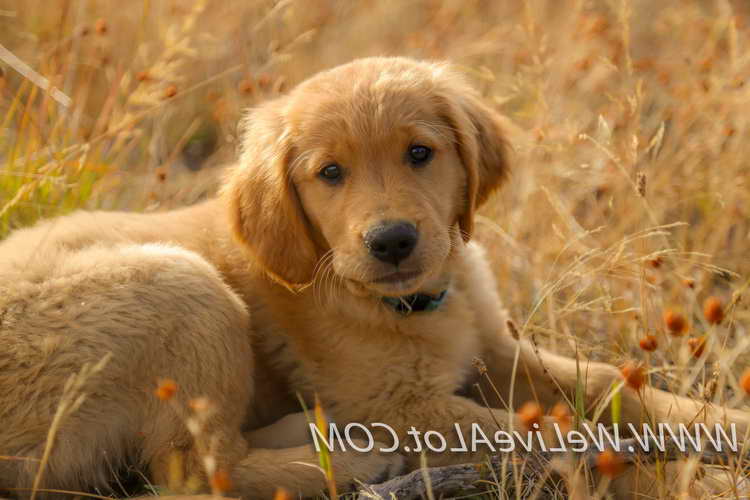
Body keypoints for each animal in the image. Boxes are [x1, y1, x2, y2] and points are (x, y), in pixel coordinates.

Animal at [1, 56, 750, 498]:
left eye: (420, 153)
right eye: (330, 173)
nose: (391, 241)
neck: (410, 301)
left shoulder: (497, 349)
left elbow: (609, 385)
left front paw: (719, 426)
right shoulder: (402, 403)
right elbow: (546, 430)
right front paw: (633, 460)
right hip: (182, 286)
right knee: (196, 470)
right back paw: (359, 461)